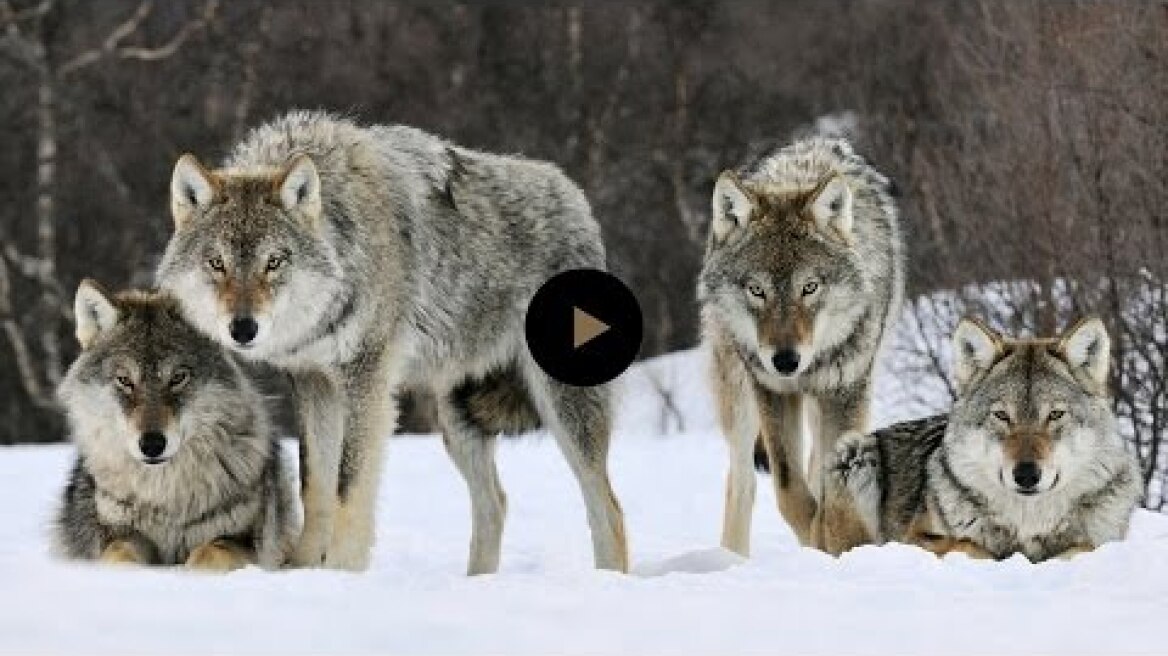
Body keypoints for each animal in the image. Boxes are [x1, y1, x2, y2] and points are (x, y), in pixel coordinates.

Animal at [54, 281, 298, 570]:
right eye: (124, 380)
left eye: (178, 378)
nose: (152, 444)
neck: (165, 497)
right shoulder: (119, 534)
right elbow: (119, 555)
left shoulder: (243, 542)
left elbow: (208, 554)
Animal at [156, 111, 628, 573]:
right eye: (216, 263)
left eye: (274, 262)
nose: (243, 329)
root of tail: (577, 199)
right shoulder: (313, 382)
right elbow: (315, 485)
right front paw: (303, 568)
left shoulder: (367, 380)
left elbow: (348, 486)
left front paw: (341, 571)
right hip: (457, 420)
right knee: (496, 503)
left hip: (561, 410)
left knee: (607, 507)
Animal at [698, 137, 903, 556]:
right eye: (756, 290)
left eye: (809, 287)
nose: (785, 360)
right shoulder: (773, 391)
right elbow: (789, 490)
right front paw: (814, 537)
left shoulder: (846, 392)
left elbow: (828, 486)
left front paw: (829, 540)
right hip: (739, 397)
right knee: (742, 483)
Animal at [818, 317, 1142, 561]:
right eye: (1002, 416)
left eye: (1055, 415)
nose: (1026, 474)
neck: (1028, 523)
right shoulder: (915, 538)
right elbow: (968, 544)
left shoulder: (1101, 542)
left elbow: (1082, 547)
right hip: (853, 453)